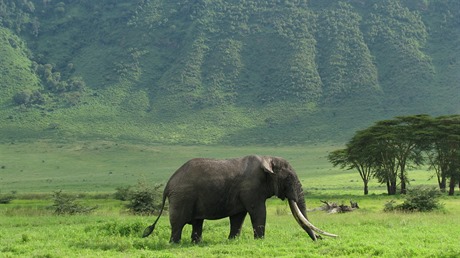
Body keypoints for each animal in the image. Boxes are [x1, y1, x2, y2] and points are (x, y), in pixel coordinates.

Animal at [142, 155, 336, 244]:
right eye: (288, 179)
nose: (319, 239)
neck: (267, 159)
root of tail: (167, 185)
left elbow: (238, 217)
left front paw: (232, 241)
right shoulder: (251, 188)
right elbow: (258, 212)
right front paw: (260, 241)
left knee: (197, 222)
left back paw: (196, 243)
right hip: (182, 197)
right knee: (178, 223)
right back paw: (175, 244)